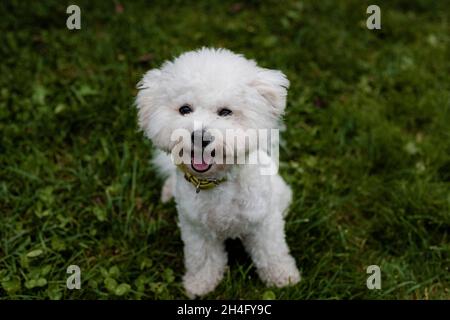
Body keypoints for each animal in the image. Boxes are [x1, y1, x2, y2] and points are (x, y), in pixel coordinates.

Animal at [135, 47, 300, 298]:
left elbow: (272, 253)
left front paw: (283, 277)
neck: (217, 181)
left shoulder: (263, 222)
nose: (200, 137)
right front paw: (200, 284)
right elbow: (202, 259)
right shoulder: (196, 229)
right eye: (184, 109)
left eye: (225, 112)